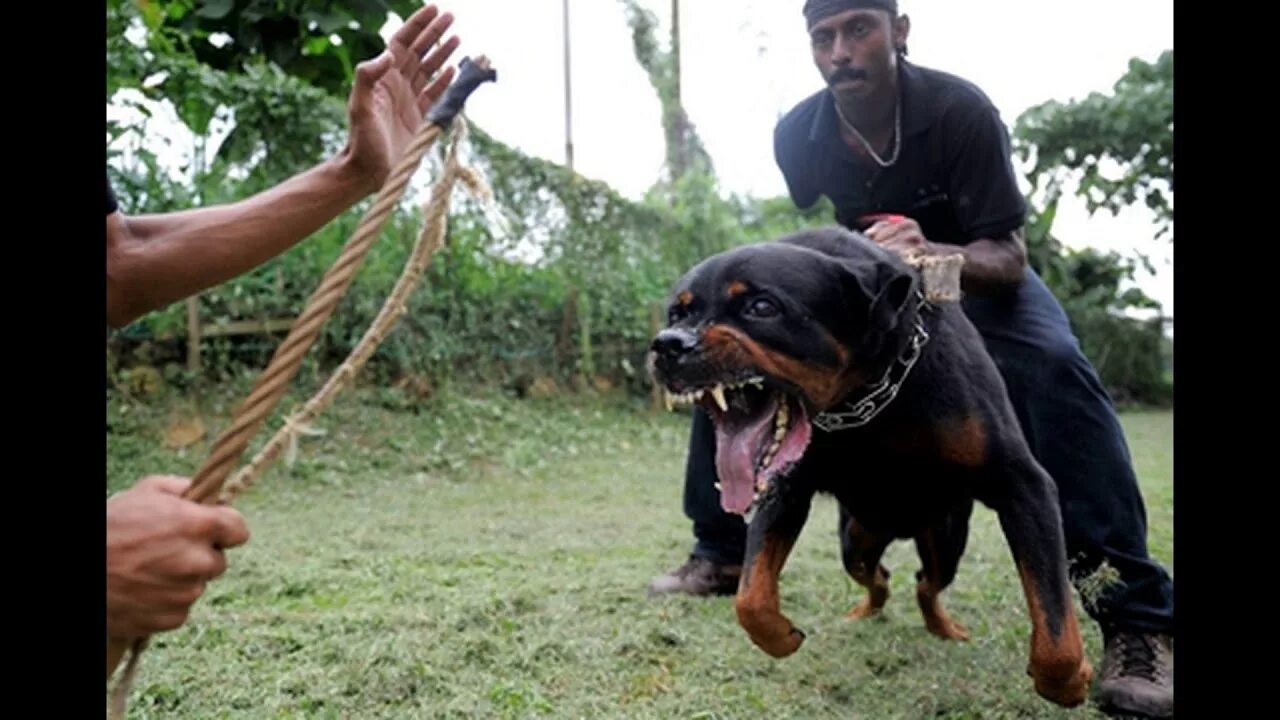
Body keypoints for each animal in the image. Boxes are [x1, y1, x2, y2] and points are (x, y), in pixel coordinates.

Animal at [645, 226, 1095, 702]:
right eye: (677, 312)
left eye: (762, 307)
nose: (667, 344)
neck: (865, 395)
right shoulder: (783, 488)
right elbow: (751, 597)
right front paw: (782, 636)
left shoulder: (1023, 485)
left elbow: (1053, 616)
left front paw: (1068, 683)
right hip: (855, 541)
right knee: (878, 575)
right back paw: (867, 610)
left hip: (946, 539)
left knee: (926, 583)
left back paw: (942, 627)